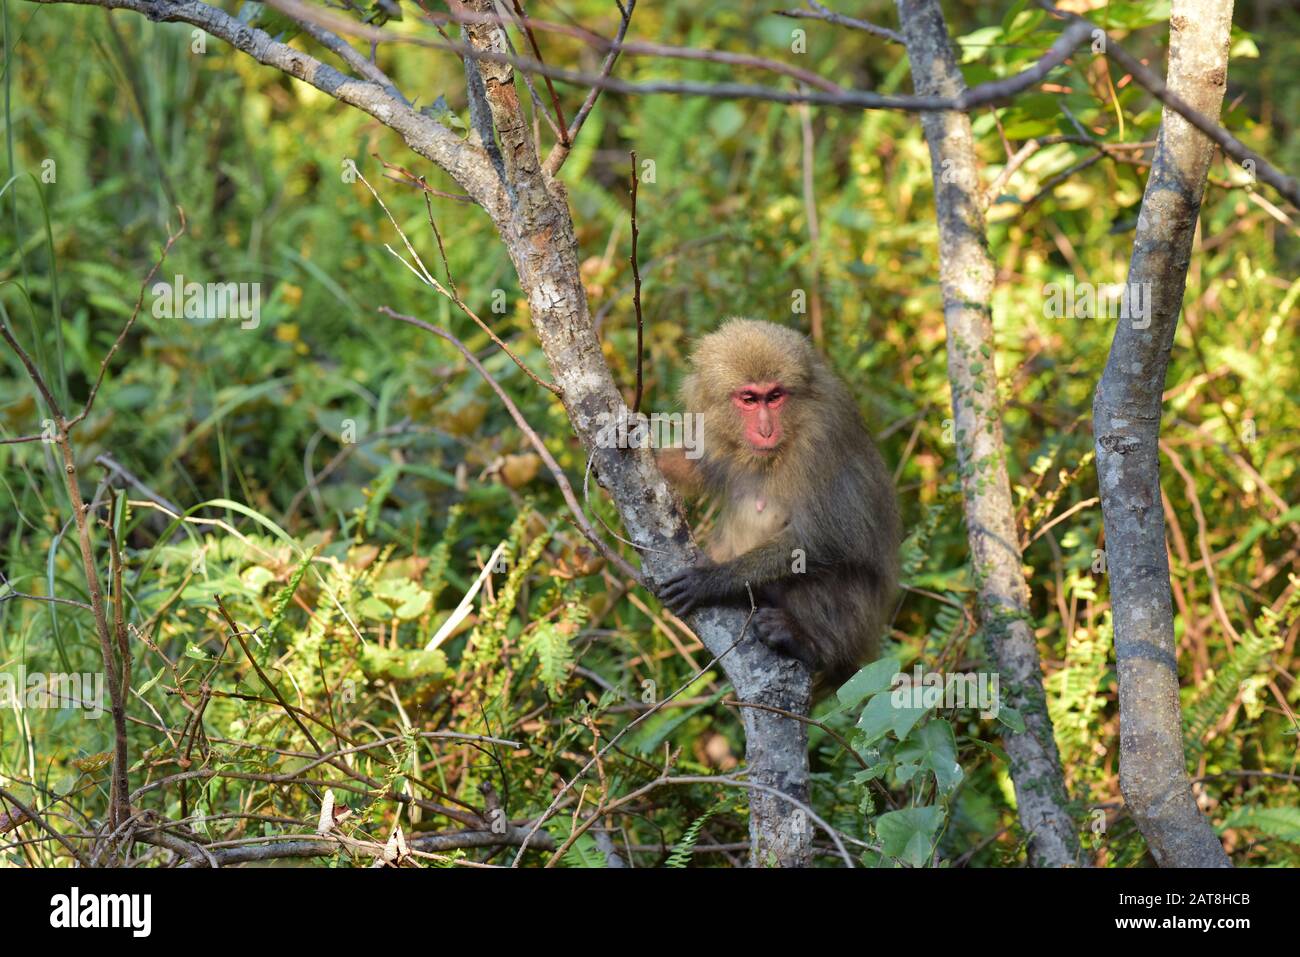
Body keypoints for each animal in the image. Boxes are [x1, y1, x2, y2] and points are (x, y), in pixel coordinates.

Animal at [655, 317, 899, 691]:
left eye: (774, 397)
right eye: (749, 399)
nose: (766, 430)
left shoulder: (820, 440)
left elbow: (830, 537)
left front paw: (713, 580)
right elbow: (698, 465)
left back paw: (810, 645)